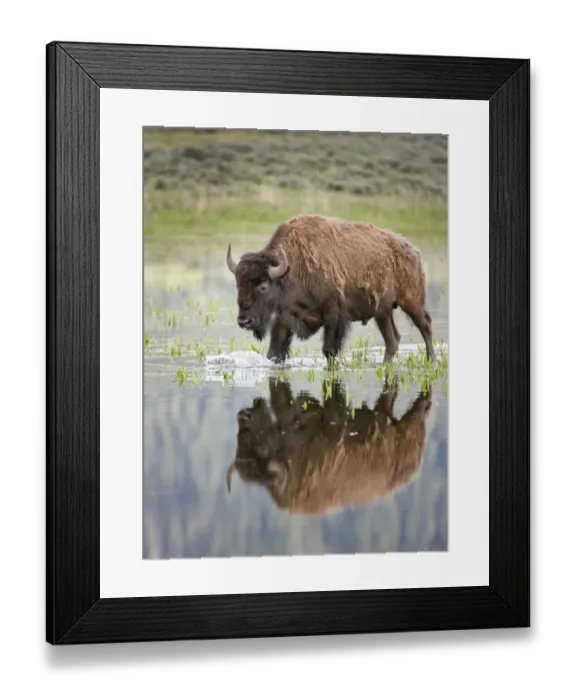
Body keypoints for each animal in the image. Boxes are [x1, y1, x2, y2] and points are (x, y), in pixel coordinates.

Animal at [226, 214, 436, 364]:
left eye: (263, 286)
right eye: (238, 284)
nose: (244, 321)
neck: (291, 268)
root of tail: (414, 252)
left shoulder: (334, 315)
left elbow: (329, 350)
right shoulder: (284, 317)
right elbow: (275, 351)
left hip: (412, 302)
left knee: (424, 325)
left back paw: (431, 359)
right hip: (382, 312)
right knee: (393, 339)